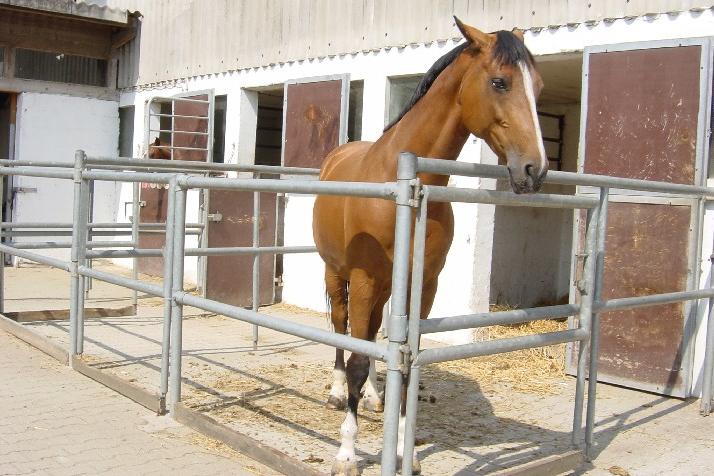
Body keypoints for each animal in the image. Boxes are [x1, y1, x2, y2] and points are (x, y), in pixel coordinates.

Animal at [310, 16, 544, 474]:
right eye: (500, 82)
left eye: (539, 86)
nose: (535, 169)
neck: (405, 183)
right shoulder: (362, 278)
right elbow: (358, 359)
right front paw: (346, 453)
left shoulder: (423, 286)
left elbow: (406, 358)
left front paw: (407, 450)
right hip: (336, 274)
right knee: (343, 329)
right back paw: (336, 392)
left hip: (384, 289)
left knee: (373, 333)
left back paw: (374, 396)